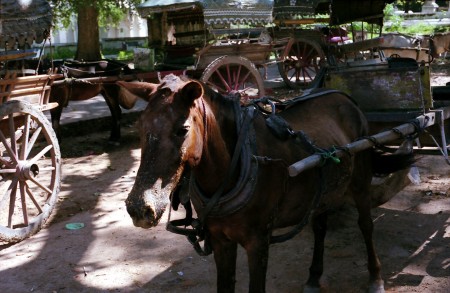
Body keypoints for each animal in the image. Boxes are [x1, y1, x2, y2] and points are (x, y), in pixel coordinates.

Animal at [118, 74, 414, 290]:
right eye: (141, 128)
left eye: (182, 130)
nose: (140, 208)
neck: (234, 168)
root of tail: (343, 95)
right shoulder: (220, 241)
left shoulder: (258, 242)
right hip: (322, 191)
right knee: (320, 227)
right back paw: (313, 277)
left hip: (361, 180)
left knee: (365, 225)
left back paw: (375, 278)